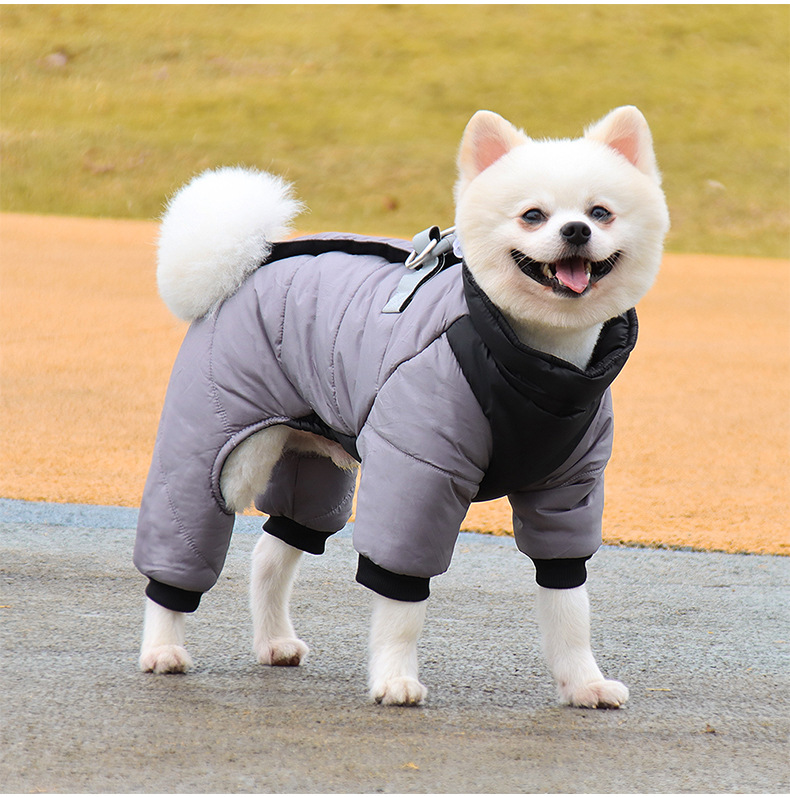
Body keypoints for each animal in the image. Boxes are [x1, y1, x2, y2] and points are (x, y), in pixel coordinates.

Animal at [136, 106, 669, 708]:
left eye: (600, 212)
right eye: (533, 215)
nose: (576, 230)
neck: (537, 363)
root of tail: (247, 264)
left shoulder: (567, 493)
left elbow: (568, 604)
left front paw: (582, 682)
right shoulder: (417, 477)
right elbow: (402, 600)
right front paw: (394, 677)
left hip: (312, 463)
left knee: (274, 552)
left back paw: (273, 641)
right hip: (216, 450)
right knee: (183, 535)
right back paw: (162, 645)